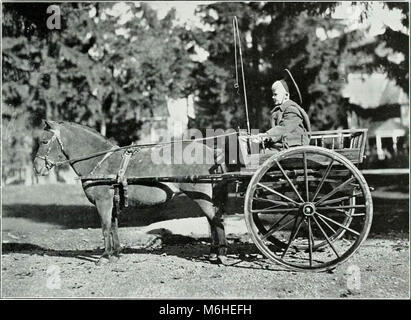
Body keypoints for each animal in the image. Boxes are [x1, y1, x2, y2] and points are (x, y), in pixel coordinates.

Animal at [33, 121, 229, 264]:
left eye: (44, 141)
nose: (36, 167)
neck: (101, 161)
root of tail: (211, 151)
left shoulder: (103, 202)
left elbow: (105, 228)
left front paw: (105, 256)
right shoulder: (112, 203)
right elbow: (113, 227)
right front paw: (116, 253)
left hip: (200, 196)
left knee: (215, 219)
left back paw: (221, 254)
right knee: (212, 220)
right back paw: (214, 252)